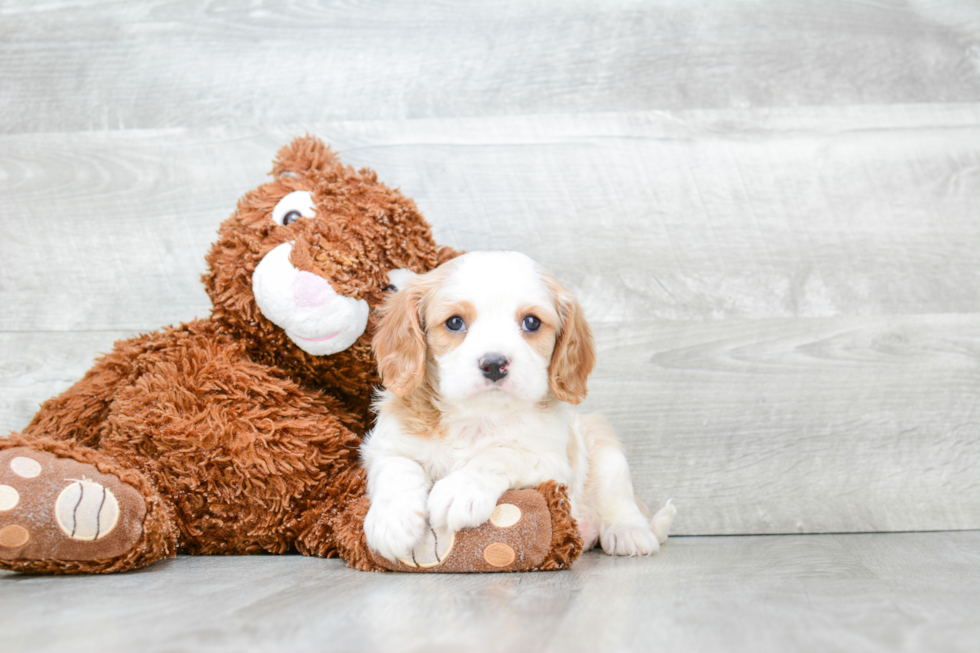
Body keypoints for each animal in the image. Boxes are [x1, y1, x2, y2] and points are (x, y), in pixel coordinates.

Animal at [360, 250, 672, 560]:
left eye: (531, 322)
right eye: (454, 322)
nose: (494, 364)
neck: (479, 416)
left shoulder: (550, 461)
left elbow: (501, 454)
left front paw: (461, 489)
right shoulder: (386, 445)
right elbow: (397, 467)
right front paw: (392, 521)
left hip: (606, 451)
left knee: (619, 499)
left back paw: (629, 532)